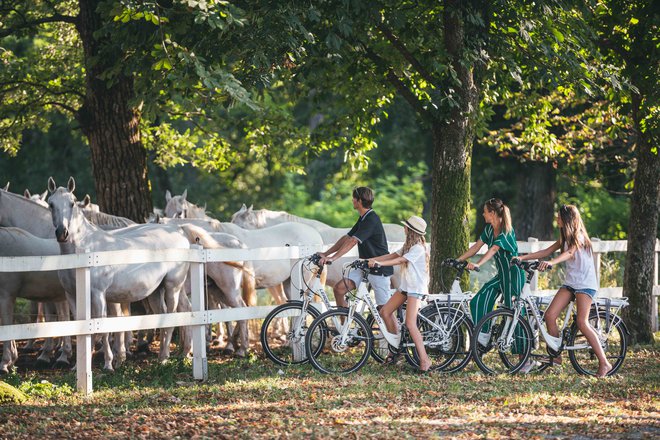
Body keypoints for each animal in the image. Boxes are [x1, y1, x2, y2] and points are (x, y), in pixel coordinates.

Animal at [45, 177, 191, 370]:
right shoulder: (72, 296)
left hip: (172, 287)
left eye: (72, 203)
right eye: (51, 204)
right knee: (172, 312)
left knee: (172, 317)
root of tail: (179, 232)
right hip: (159, 291)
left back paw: (166, 357)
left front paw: (108, 363)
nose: (62, 233)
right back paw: (173, 355)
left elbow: (102, 328)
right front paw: (78, 366)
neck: (86, 250)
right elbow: (81, 326)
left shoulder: (98, 295)